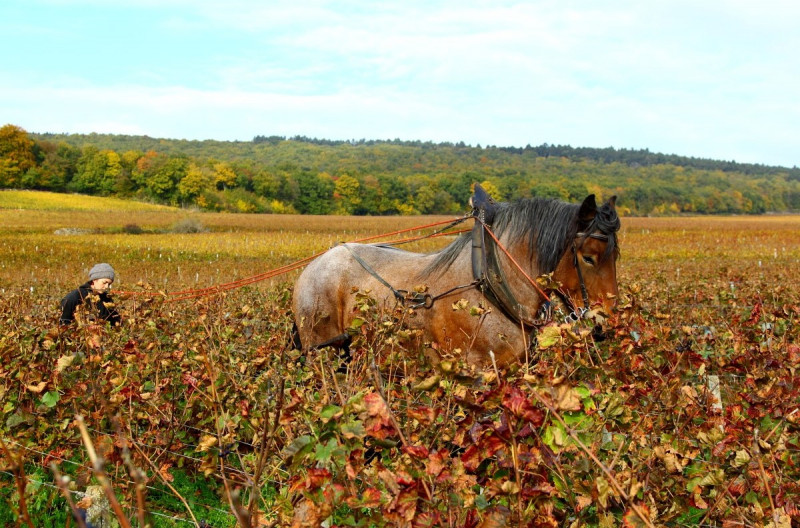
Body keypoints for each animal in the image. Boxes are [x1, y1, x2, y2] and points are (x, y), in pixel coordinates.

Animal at [290, 185, 620, 368]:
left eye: (615, 256)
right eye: (588, 257)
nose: (607, 323)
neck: (493, 286)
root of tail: (313, 266)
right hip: (321, 350)